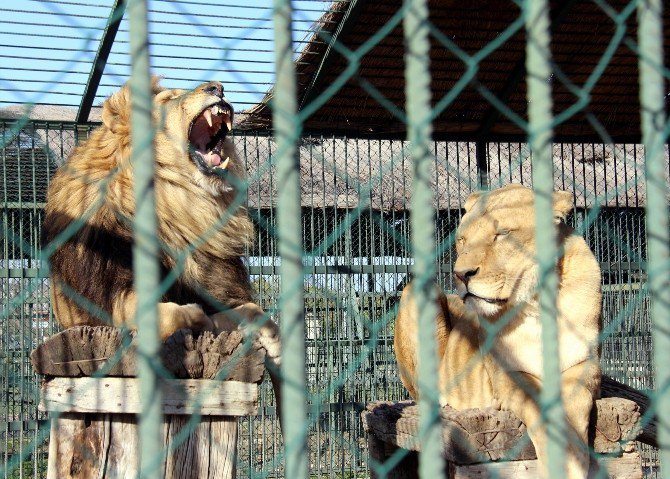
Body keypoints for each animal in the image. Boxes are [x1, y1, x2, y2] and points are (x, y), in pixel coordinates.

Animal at [42, 78, 280, 382]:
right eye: (168, 100)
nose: (218, 87)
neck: (177, 205)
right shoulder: (109, 304)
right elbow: (167, 313)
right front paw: (198, 318)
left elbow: (252, 310)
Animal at [394, 183, 604, 476]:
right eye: (462, 240)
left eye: (502, 234)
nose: (461, 274)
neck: (536, 305)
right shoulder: (509, 373)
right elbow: (538, 406)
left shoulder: (586, 364)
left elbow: (577, 399)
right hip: (418, 291)